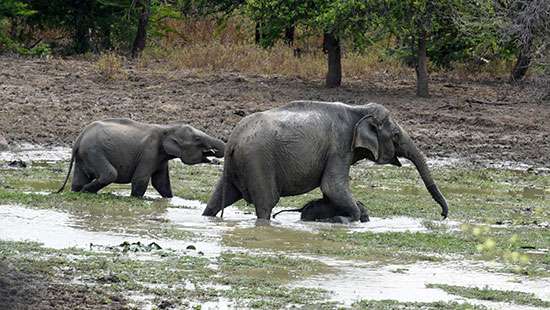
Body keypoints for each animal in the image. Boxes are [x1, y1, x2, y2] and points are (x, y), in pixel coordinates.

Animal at [57, 117, 225, 197]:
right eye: (197, 139)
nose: (214, 156)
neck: (168, 128)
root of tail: (79, 138)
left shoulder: (160, 157)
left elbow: (161, 183)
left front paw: (170, 200)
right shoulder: (149, 152)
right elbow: (141, 180)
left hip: (84, 155)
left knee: (79, 180)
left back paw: (78, 191)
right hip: (93, 151)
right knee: (109, 174)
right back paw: (85, 191)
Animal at [203, 100, 448, 222]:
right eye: (396, 135)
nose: (443, 215)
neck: (358, 110)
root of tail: (232, 142)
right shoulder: (339, 146)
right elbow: (333, 186)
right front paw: (348, 218)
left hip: (237, 166)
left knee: (216, 201)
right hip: (258, 162)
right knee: (265, 204)